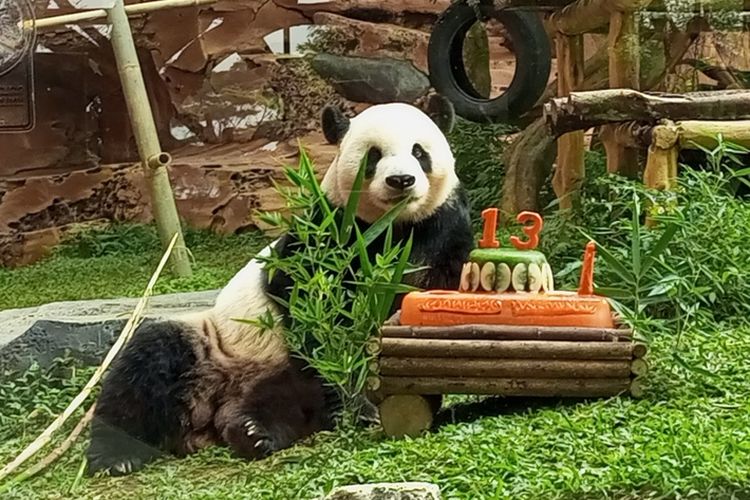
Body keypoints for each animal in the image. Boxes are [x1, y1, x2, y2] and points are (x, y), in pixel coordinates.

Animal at [85, 94, 472, 476]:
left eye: (419, 152)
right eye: (374, 156)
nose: (401, 180)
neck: (395, 225)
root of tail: (210, 412)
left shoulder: (444, 227)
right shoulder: (328, 231)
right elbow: (309, 302)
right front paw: (360, 398)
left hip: (274, 373)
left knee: (283, 404)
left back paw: (252, 432)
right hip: (214, 341)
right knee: (148, 363)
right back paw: (115, 455)